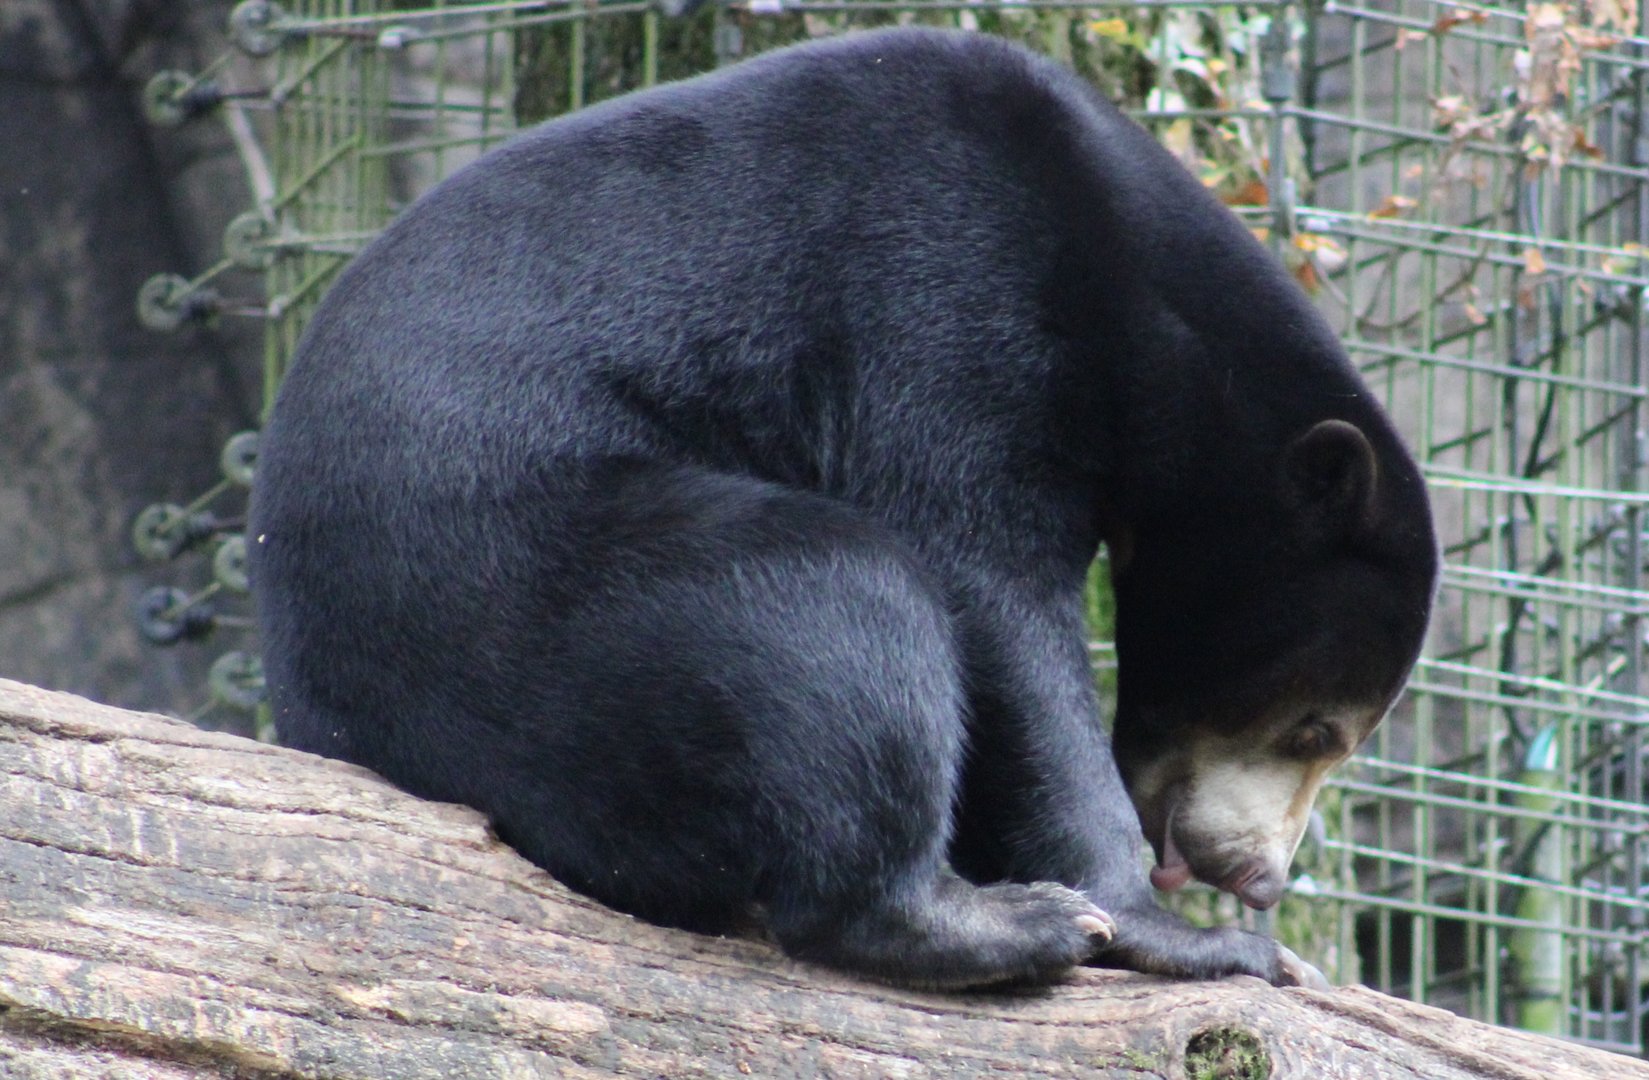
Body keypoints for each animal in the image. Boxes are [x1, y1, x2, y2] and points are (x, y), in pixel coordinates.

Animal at [248, 26, 1438, 990]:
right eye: (1315, 728)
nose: (1256, 876)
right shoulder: (949, 298)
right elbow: (981, 585)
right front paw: (1182, 934)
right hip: (512, 585)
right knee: (830, 608)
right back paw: (1006, 925)